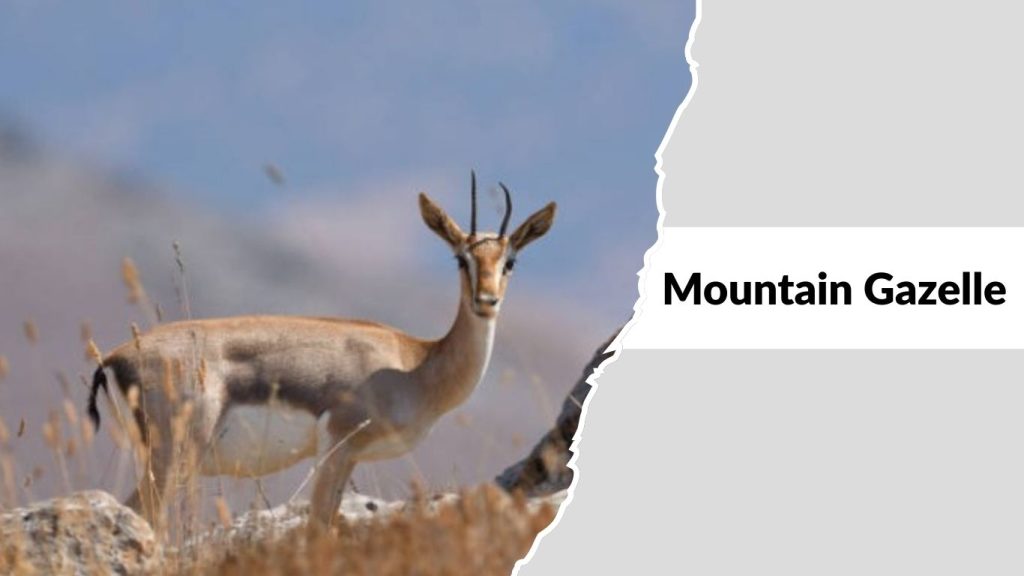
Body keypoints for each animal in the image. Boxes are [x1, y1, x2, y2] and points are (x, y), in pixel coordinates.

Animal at [86, 173, 556, 528]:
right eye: (461, 259)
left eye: (510, 261)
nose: (486, 301)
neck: (414, 364)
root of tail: (113, 357)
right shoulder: (336, 449)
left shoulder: (349, 459)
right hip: (171, 459)